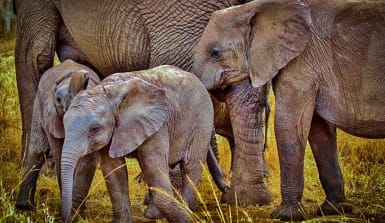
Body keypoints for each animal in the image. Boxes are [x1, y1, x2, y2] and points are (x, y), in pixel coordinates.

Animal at [16, 59, 100, 213]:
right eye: (58, 99)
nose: (84, 75)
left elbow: (88, 160)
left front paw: (77, 212)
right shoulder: (53, 115)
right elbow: (60, 155)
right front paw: (71, 210)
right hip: (38, 106)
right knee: (38, 150)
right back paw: (24, 207)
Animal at [194, 0, 384, 220]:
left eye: (215, 53)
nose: (225, 191)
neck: (256, 8)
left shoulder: (301, 64)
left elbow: (288, 125)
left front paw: (285, 215)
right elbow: (320, 130)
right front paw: (334, 210)